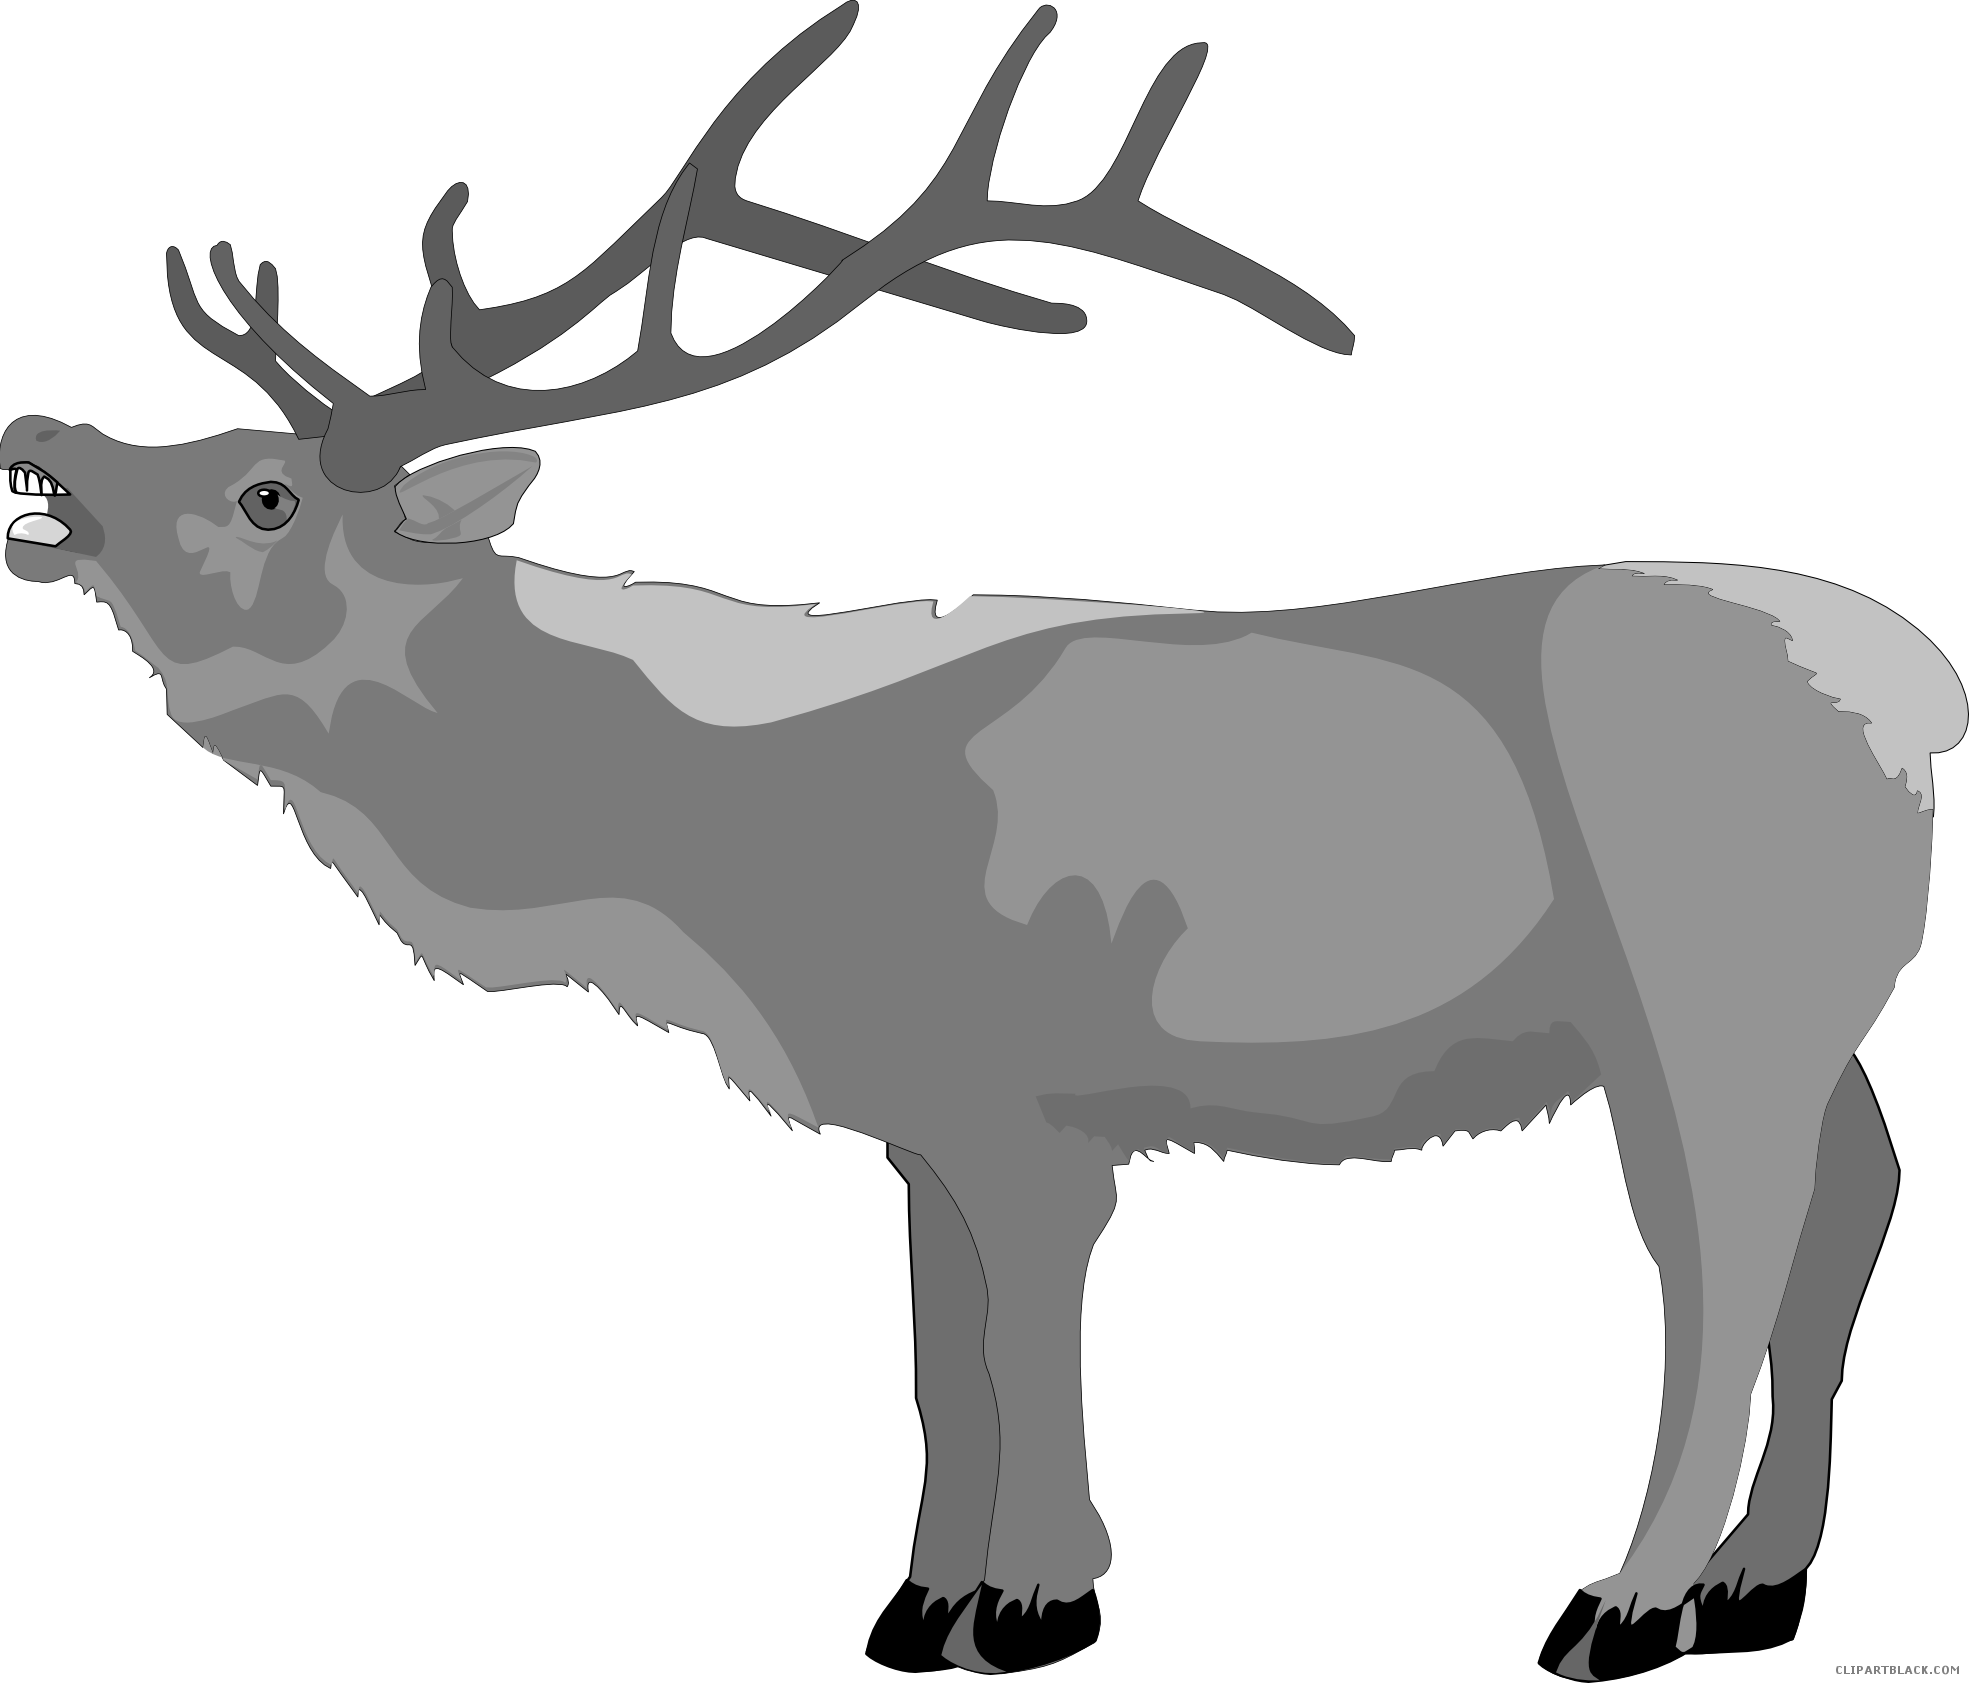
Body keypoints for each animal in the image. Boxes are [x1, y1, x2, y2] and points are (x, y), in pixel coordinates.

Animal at [5, 5, 1959, 1675]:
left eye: (267, 489)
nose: (40, 431)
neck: (706, 873)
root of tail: (1919, 692)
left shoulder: (1028, 1102)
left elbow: (1023, 1332)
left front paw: (1031, 1594)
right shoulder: (911, 1114)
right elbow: (943, 1353)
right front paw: (935, 1578)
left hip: (1702, 1000)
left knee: (1725, 1239)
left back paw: (1633, 1595)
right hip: (1820, 1011)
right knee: (1856, 1190)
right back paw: (1758, 1561)